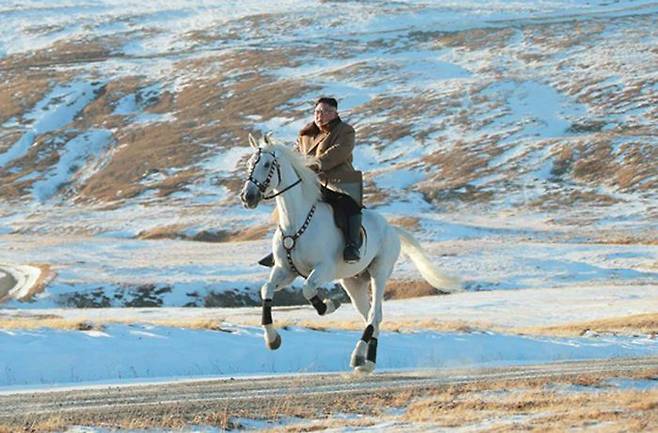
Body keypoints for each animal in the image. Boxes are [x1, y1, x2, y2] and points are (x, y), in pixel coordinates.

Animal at [238, 134, 458, 372]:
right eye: (249, 164)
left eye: (267, 164)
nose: (247, 196)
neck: (296, 222)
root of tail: (392, 228)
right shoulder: (285, 270)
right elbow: (266, 289)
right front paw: (272, 339)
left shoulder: (323, 269)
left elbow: (308, 289)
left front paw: (329, 305)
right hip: (353, 282)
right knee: (370, 316)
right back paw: (366, 360)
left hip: (379, 273)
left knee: (375, 314)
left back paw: (360, 358)